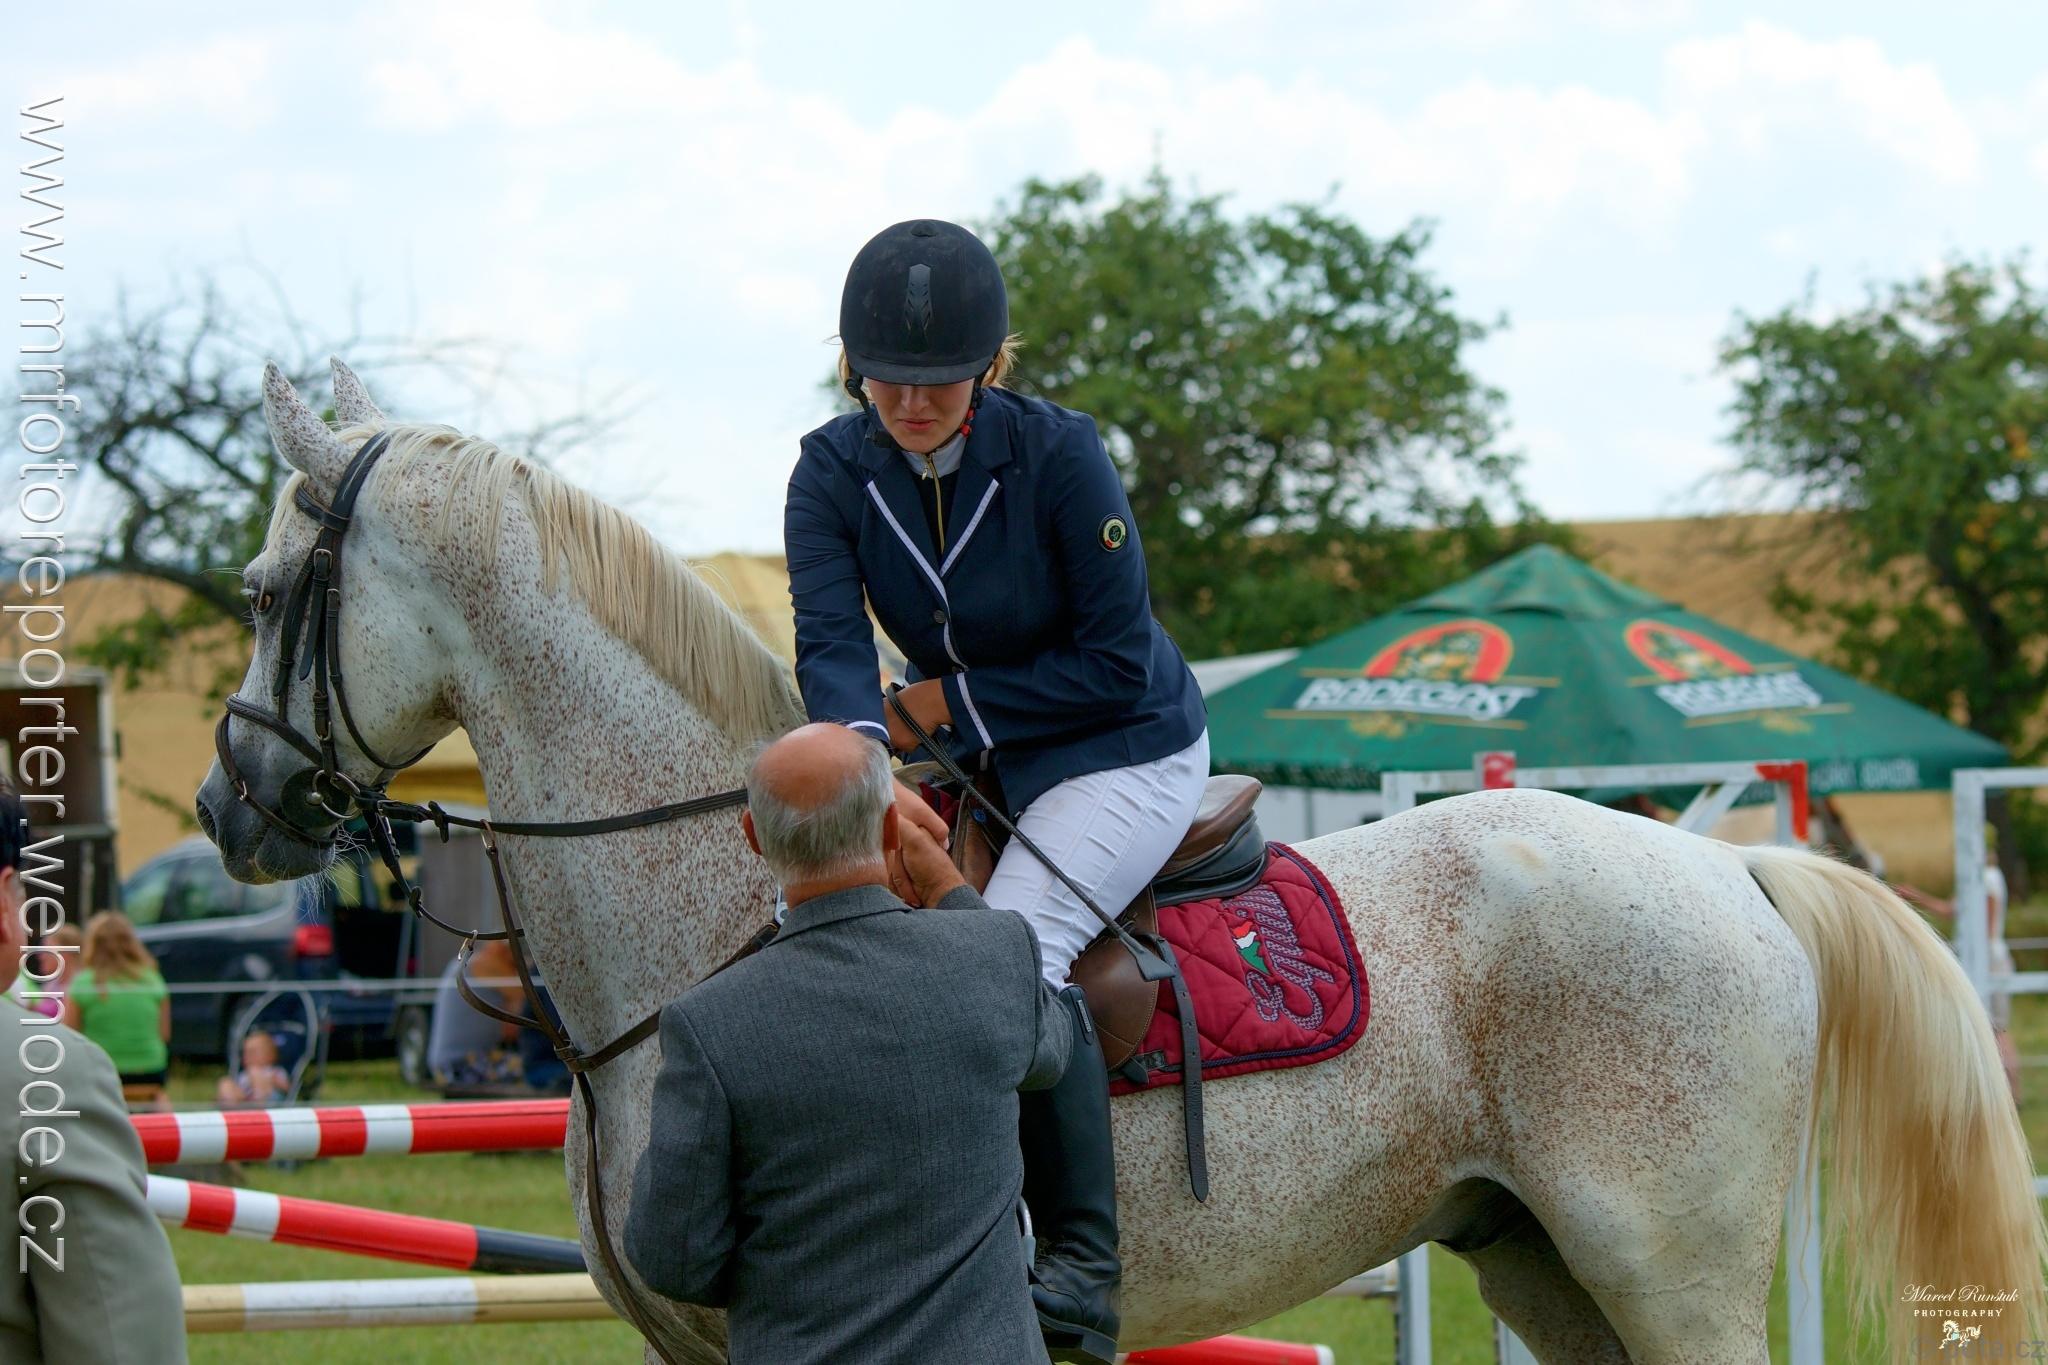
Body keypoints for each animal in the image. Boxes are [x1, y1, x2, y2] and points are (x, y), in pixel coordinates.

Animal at [197, 358, 2046, 1364]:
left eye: (266, 590)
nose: (227, 808)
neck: (721, 910)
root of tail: (1727, 869)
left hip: (1668, 1261)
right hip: (1537, 1252)